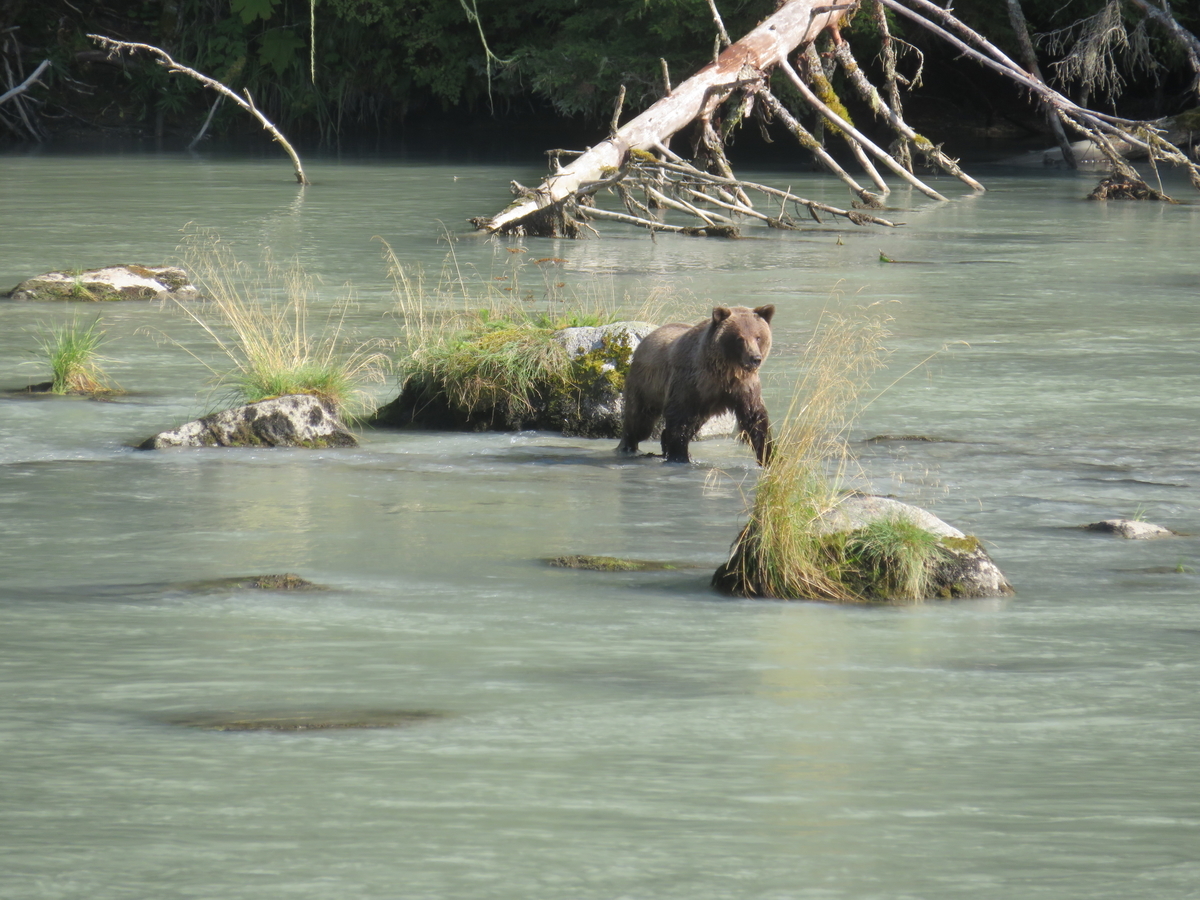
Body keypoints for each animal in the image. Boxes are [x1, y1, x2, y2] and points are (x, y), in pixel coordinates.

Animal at [614, 309, 772, 468]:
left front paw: (767, 455)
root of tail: (645, 339)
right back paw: (627, 446)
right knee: (639, 422)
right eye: (739, 338)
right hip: (646, 385)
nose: (755, 358)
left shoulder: (743, 386)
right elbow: (679, 418)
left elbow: (755, 418)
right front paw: (679, 456)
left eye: (758, 337)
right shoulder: (690, 382)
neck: (724, 371)